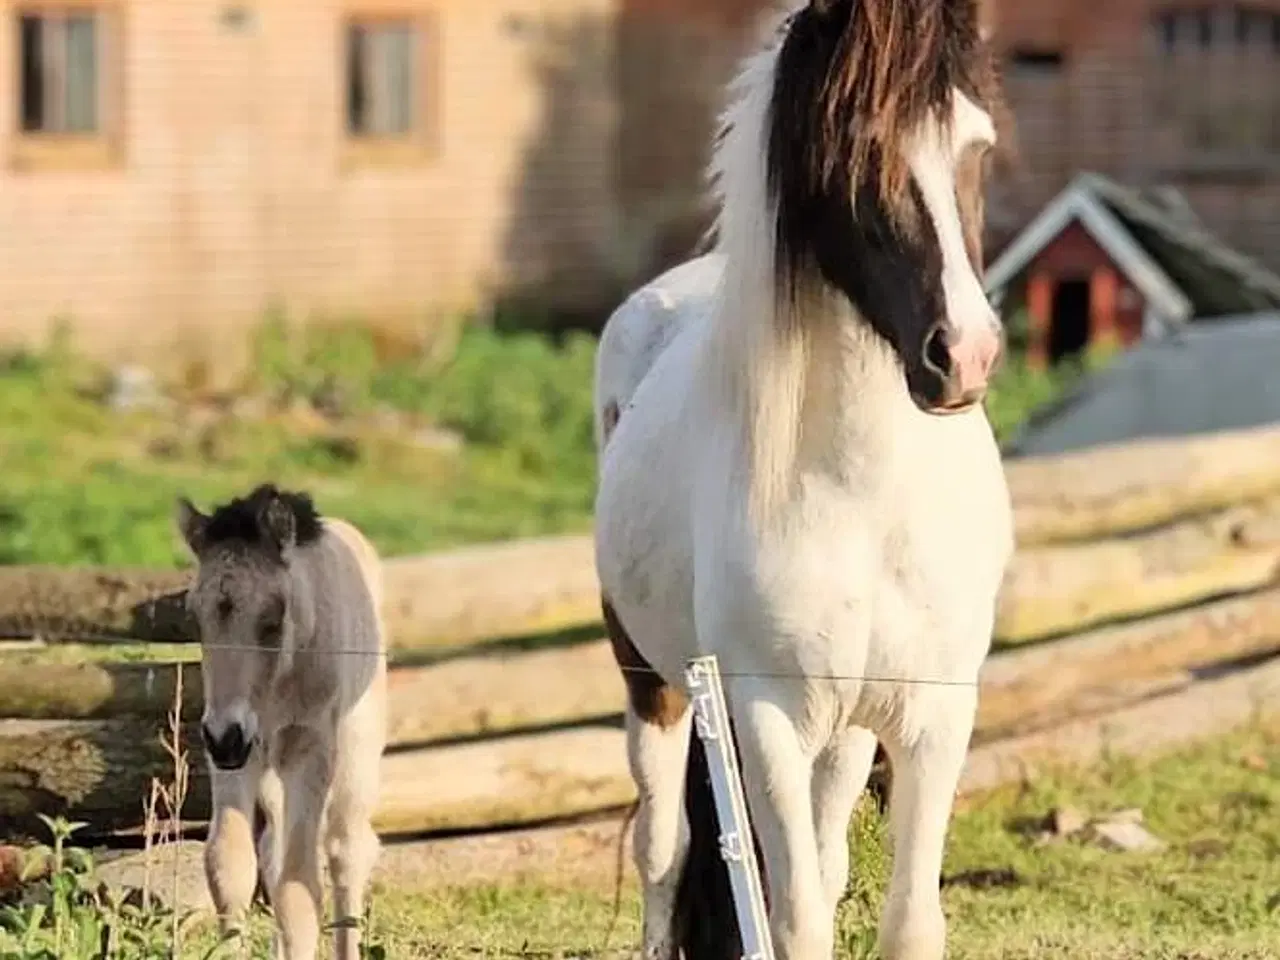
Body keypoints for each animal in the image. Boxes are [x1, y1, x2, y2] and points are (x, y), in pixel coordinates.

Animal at [596, 1, 1008, 960]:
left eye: (977, 146)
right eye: (855, 155)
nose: (965, 357)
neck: (868, 500)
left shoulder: (933, 721)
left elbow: (904, 916)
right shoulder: (769, 718)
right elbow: (795, 915)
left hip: (847, 731)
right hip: (656, 687)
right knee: (664, 849)